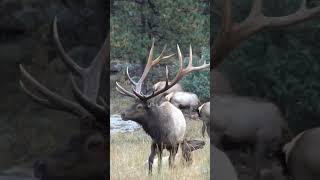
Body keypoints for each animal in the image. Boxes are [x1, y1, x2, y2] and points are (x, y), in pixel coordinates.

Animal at [115, 39, 210, 174]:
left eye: (139, 106)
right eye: (132, 103)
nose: (122, 114)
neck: (159, 131)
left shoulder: (174, 145)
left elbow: (170, 162)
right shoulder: (155, 143)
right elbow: (152, 161)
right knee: (156, 160)